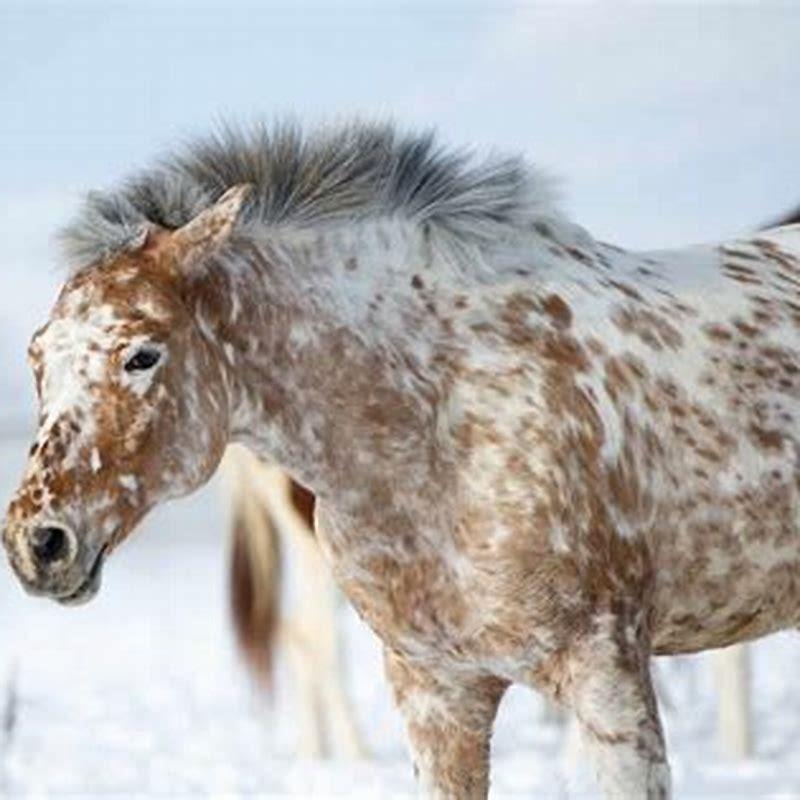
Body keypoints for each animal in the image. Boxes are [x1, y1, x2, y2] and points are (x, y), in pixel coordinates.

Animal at [4, 120, 800, 799]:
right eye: (37, 356)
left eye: (142, 353)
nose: (37, 543)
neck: (441, 428)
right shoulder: (437, 691)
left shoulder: (610, 678)